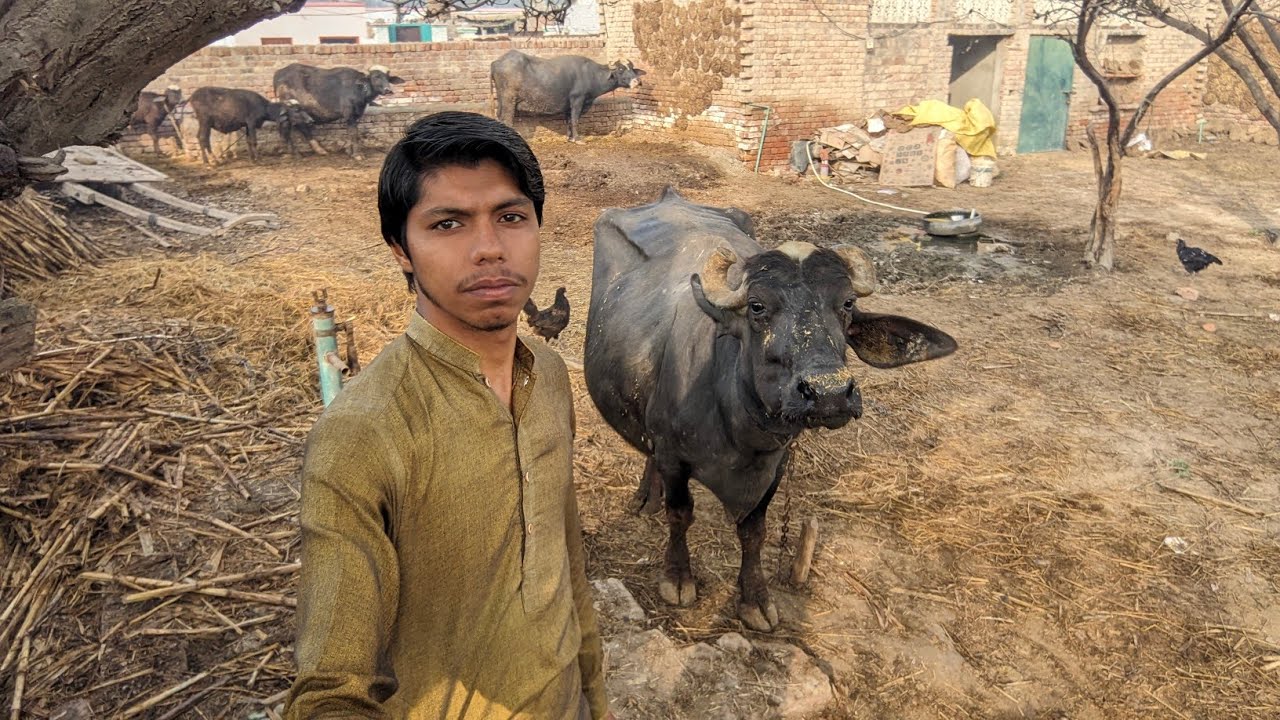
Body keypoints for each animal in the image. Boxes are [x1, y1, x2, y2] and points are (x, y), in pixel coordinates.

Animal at [490, 51, 645, 142]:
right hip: (509, 100)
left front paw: (570, 138)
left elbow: (569, 120)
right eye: (621, 69)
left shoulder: (567, 105)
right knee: (507, 119)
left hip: (501, 99)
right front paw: (578, 139)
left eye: (632, 68)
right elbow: (575, 119)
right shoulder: (578, 100)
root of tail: (496, 62)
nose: (637, 81)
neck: (591, 75)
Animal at [583, 188, 957, 631]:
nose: (829, 392)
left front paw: (754, 598)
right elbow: (680, 515)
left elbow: (753, 531)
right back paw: (645, 497)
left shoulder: (776, 465)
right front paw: (678, 576)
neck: (737, 431)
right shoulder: (674, 458)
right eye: (757, 307)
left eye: (847, 303)